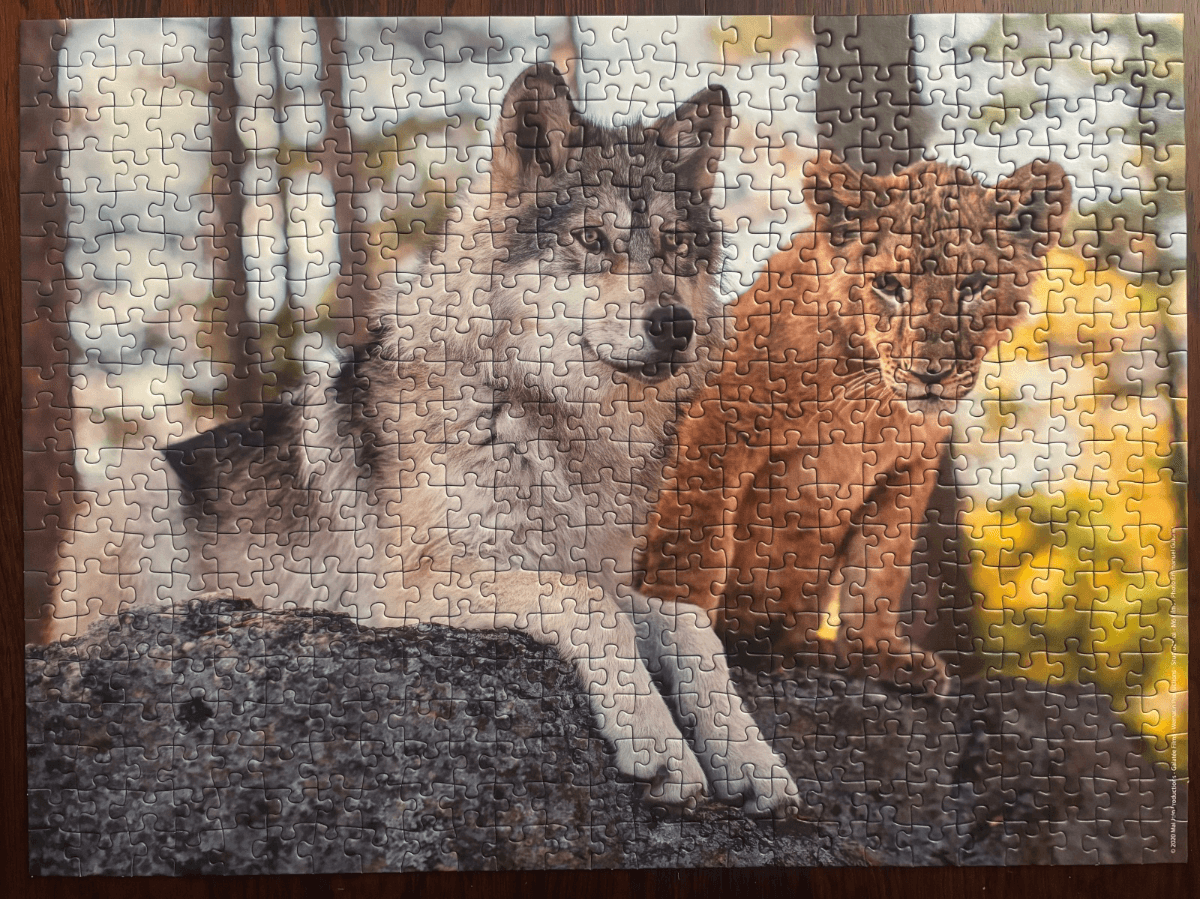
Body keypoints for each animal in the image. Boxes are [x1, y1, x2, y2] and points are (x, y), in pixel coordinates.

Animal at [125, 64, 797, 812]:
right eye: (593, 240)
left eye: (678, 245)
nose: (676, 324)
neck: (544, 421)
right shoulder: (407, 591)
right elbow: (591, 607)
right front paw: (661, 746)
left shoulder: (593, 568)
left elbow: (691, 625)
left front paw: (752, 757)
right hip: (141, 485)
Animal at [638, 150, 1071, 689]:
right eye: (889, 285)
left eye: (973, 287)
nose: (931, 373)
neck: (870, 400)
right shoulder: (716, 429)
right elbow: (693, 542)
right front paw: (684, 632)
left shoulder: (909, 471)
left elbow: (881, 568)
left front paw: (877, 651)